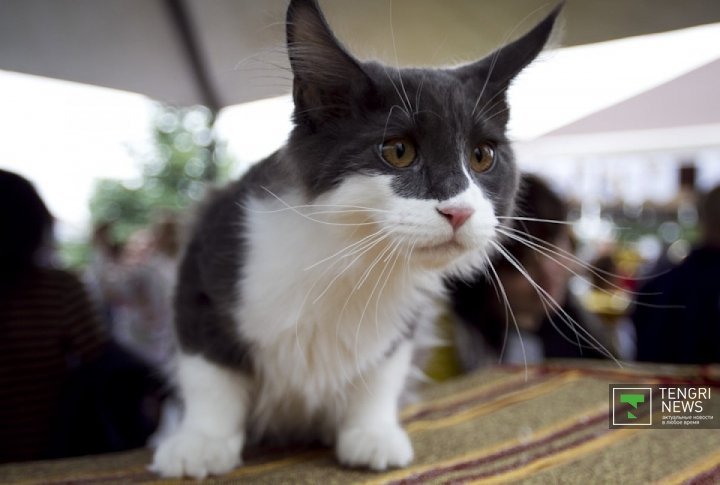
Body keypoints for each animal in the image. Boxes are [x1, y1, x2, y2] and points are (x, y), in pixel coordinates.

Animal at [149, 0, 560, 476]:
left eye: (481, 156)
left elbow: (380, 374)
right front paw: (202, 440)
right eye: (398, 151)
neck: (354, 259)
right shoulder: (206, 262)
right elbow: (209, 374)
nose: (459, 211)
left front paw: (370, 432)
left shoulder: (402, 326)